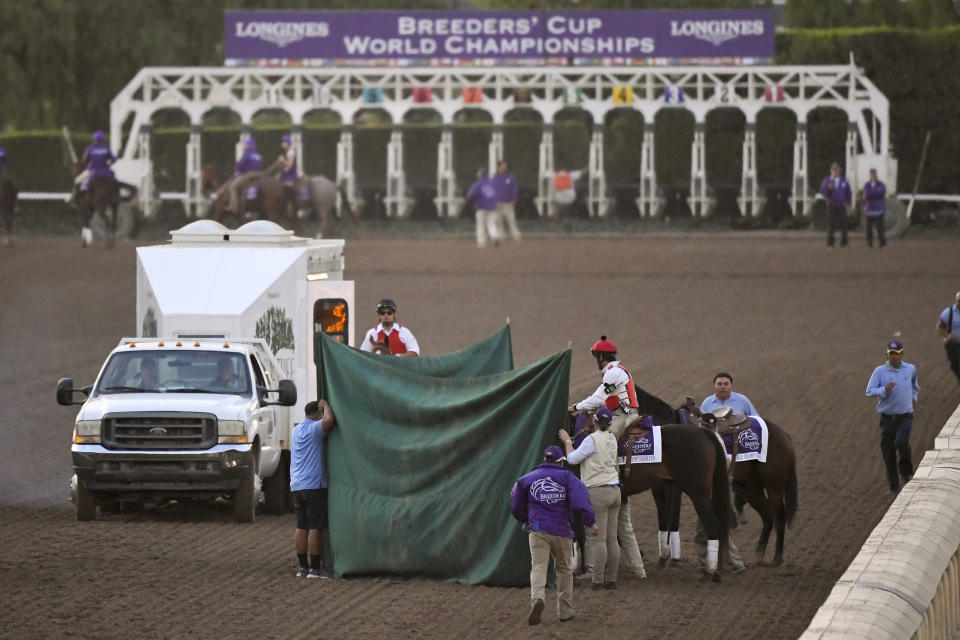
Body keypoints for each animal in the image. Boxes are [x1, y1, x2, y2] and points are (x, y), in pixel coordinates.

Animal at [688, 400, 800, 564]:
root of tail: (785, 436)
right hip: (752, 488)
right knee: (767, 516)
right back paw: (759, 553)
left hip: (774, 487)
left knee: (779, 518)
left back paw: (777, 557)